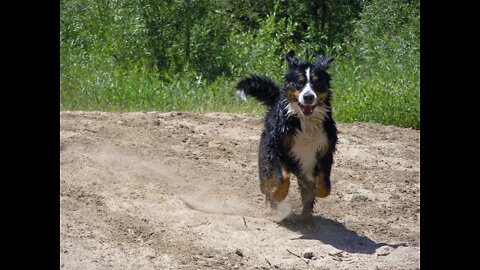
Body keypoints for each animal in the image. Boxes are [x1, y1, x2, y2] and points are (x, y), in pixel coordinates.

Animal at [236, 50, 338, 218]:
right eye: (299, 82)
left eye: (317, 83)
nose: (308, 97)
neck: (305, 121)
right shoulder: (275, 149)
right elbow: (281, 178)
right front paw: (278, 194)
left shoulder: (325, 150)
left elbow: (324, 185)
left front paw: (318, 190)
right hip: (264, 160)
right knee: (266, 185)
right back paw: (271, 207)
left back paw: (306, 218)